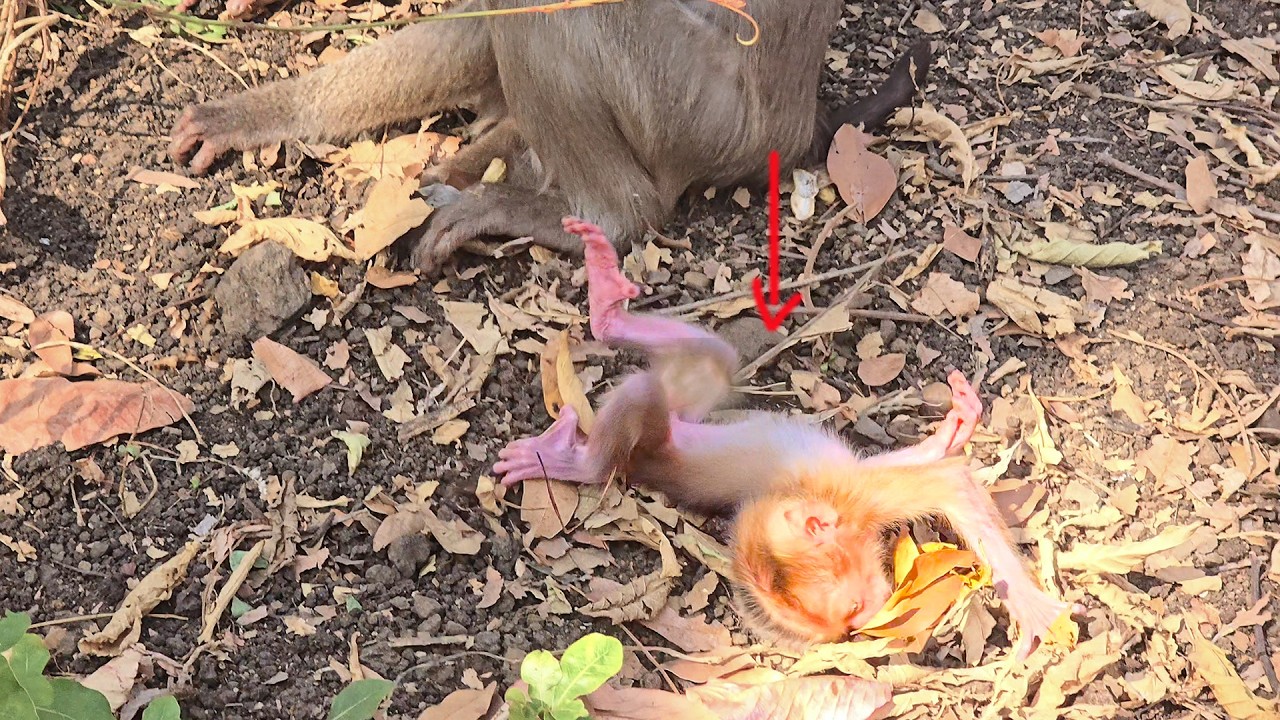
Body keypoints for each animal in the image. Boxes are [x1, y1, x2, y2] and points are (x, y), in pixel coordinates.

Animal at [492, 217, 1076, 659]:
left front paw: (1031, 607)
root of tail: (647, 463)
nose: (867, 623)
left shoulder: (862, 498)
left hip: (677, 418)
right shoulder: (860, 499)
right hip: (661, 433)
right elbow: (944, 478)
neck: (837, 512)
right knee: (664, 385)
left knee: (683, 372)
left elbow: (948, 482)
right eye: (852, 615)